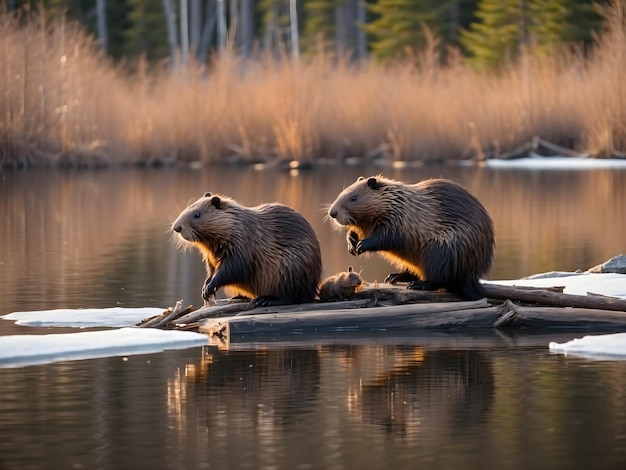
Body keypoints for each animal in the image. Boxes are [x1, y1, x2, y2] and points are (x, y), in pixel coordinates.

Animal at [171, 192, 322, 308]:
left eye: (197, 215)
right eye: (188, 208)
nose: (176, 227)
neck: (236, 225)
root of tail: (313, 290)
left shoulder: (243, 245)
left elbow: (233, 269)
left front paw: (209, 288)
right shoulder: (211, 256)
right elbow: (212, 270)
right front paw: (205, 287)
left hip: (291, 272)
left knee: (291, 297)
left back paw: (264, 300)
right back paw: (238, 297)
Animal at [326, 174, 492, 300]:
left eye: (354, 198)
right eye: (342, 193)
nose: (332, 213)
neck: (395, 202)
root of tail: (472, 278)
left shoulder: (399, 219)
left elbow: (387, 236)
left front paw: (361, 245)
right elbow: (354, 231)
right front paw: (351, 245)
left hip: (441, 252)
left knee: (438, 279)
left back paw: (419, 285)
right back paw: (394, 277)